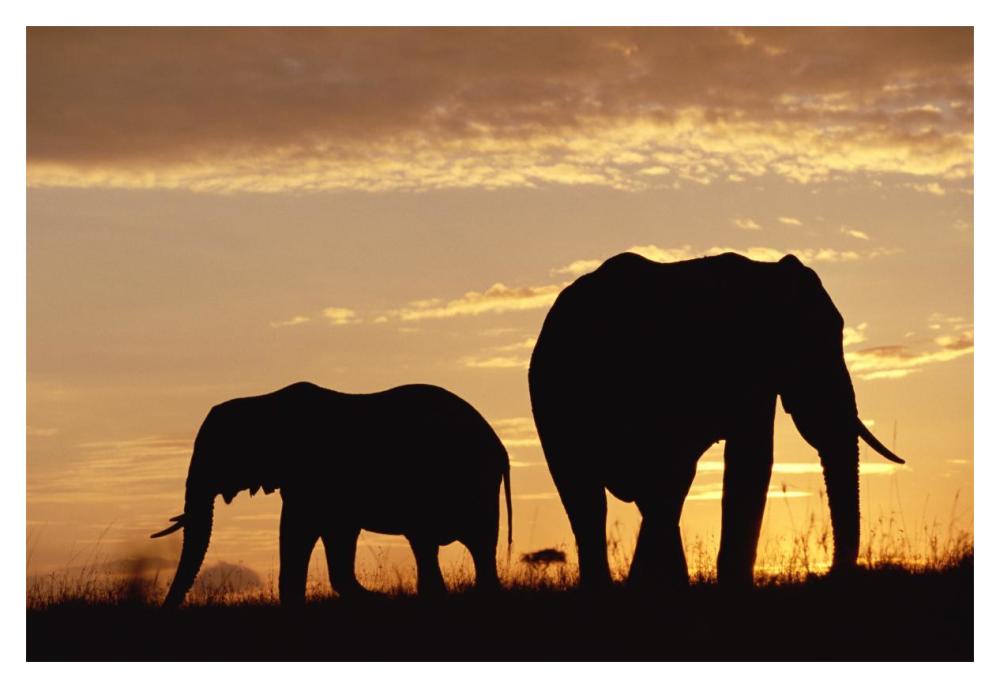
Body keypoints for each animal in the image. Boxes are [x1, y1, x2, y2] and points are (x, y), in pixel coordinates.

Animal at [151, 381, 512, 607]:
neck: (262, 401)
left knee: (447, 543)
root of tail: (498, 446)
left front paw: (379, 599)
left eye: (218, 453)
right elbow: (333, 535)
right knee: (459, 547)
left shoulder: (310, 474)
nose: (166, 607)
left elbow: (298, 529)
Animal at [528, 252, 904, 590]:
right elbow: (752, 459)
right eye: (815, 344)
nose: (831, 574)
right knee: (601, 496)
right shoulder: (745, 363)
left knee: (638, 494)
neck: (767, 274)